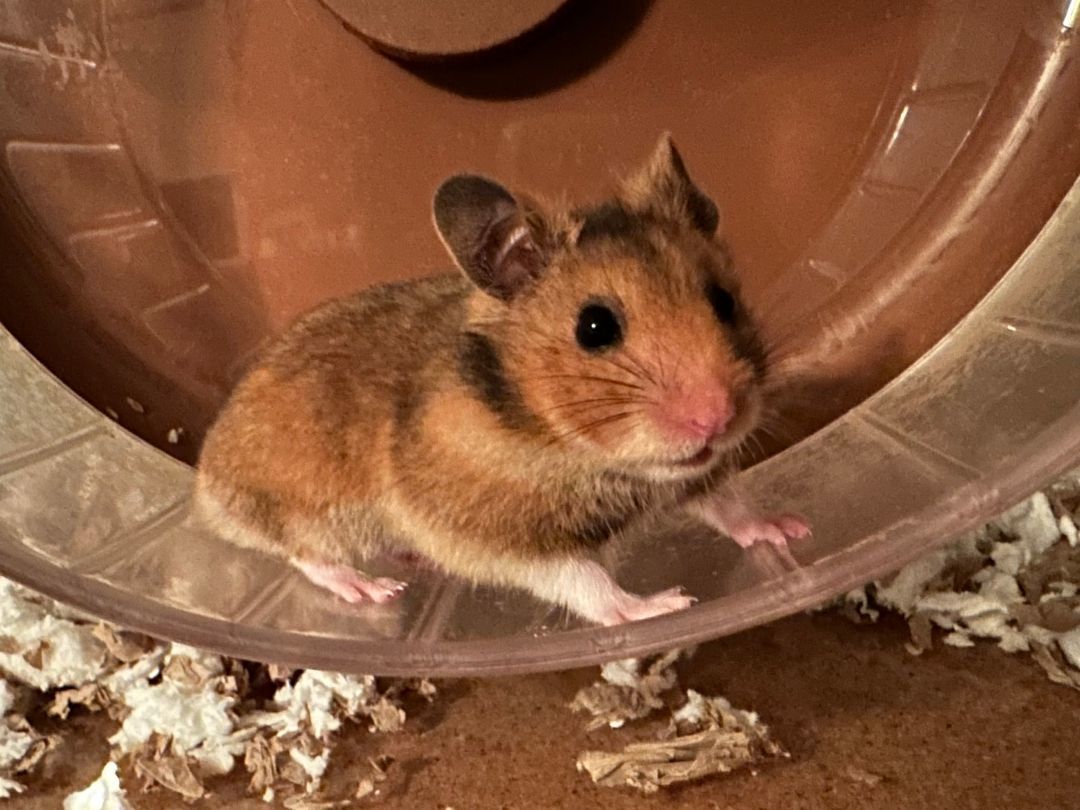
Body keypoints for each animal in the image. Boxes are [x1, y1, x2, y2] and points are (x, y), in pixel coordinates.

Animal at [194, 134, 809, 627]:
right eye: (594, 327)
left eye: (723, 300)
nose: (719, 417)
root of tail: (205, 480)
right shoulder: (503, 538)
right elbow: (587, 583)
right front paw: (667, 605)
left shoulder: (696, 479)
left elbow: (732, 505)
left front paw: (791, 529)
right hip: (309, 512)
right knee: (307, 557)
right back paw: (375, 589)